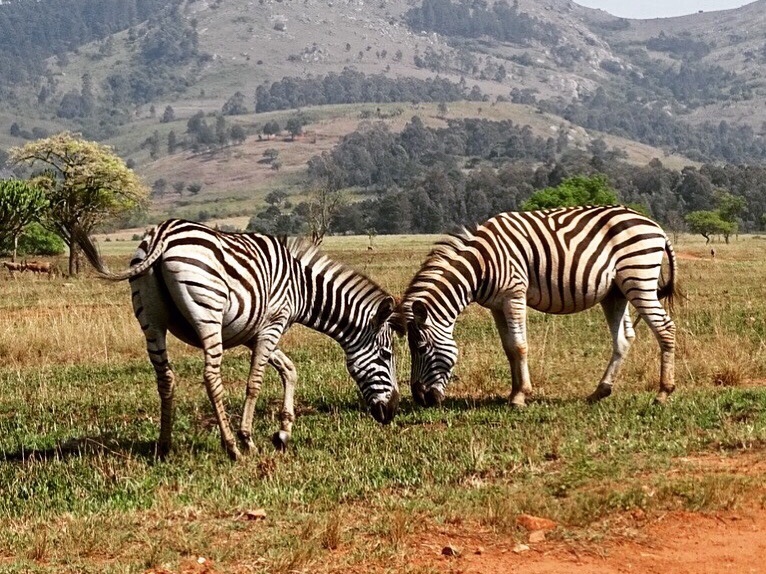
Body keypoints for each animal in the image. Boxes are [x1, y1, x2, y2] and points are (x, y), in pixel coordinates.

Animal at [75, 220, 404, 464]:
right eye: (386, 355)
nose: (391, 411)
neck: (303, 287)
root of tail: (162, 233)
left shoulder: (252, 332)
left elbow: (290, 370)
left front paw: (283, 433)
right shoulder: (272, 324)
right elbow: (255, 382)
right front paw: (249, 438)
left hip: (150, 320)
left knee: (165, 378)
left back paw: (165, 445)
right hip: (207, 312)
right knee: (211, 377)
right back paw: (232, 446)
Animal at [400, 207, 680, 410]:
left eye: (421, 348)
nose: (421, 400)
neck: (480, 265)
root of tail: (654, 225)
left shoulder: (514, 295)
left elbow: (519, 346)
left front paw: (520, 397)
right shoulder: (496, 306)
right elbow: (509, 348)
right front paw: (514, 392)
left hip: (638, 278)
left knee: (665, 328)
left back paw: (663, 393)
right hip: (615, 293)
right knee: (623, 338)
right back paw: (600, 391)